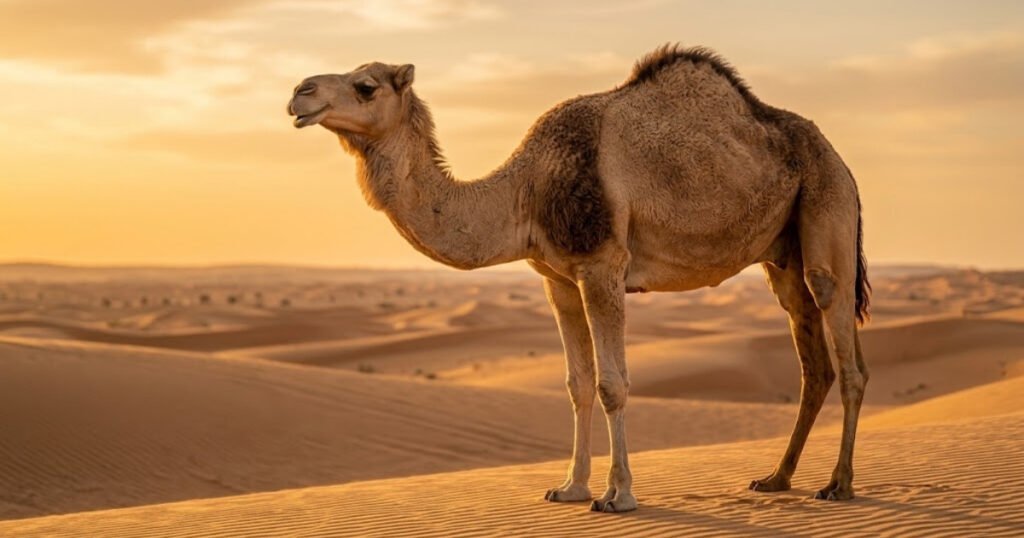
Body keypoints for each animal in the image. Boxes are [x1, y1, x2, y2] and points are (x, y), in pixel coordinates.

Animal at [287, 44, 871, 513]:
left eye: (366, 85)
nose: (298, 92)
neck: (525, 191)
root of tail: (842, 159)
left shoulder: (602, 266)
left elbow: (613, 384)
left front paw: (618, 495)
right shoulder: (558, 280)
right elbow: (577, 384)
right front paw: (569, 487)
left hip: (828, 203)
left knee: (844, 343)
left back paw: (838, 484)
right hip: (782, 257)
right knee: (813, 362)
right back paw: (776, 478)